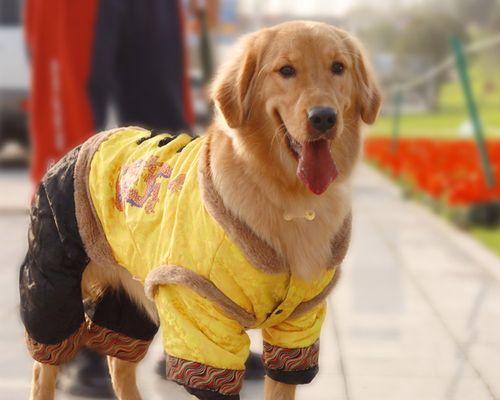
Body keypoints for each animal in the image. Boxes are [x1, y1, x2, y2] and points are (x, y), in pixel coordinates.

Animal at [18, 21, 378, 400]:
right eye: (286, 70)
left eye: (338, 67)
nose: (324, 117)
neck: (286, 197)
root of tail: (88, 142)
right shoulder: (200, 317)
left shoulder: (299, 323)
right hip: (52, 288)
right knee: (45, 365)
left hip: (129, 296)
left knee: (118, 361)